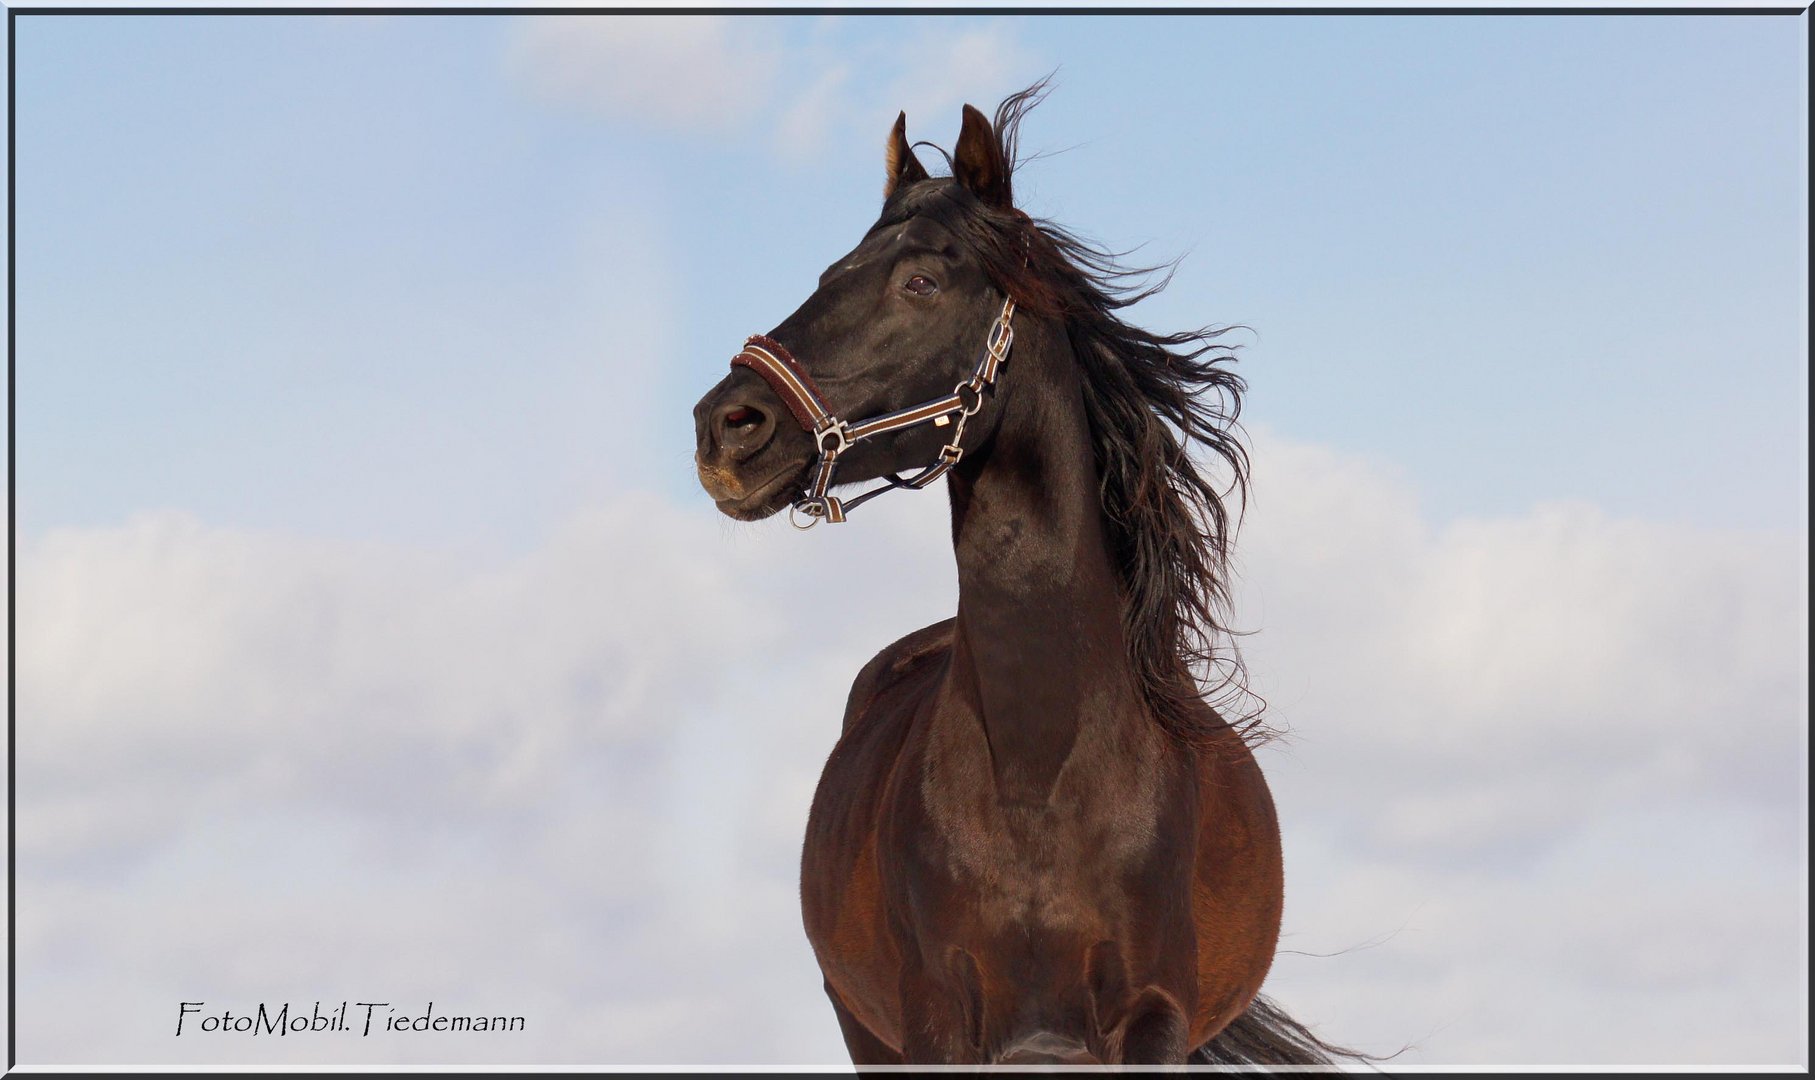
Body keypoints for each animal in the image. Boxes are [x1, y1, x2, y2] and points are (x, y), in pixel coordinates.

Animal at [693, 84, 1364, 1067]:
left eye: (920, 282)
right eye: (828, 274)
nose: (724, 430)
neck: (1039, 775)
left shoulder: (1150, 1021)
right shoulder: (935, 1022)